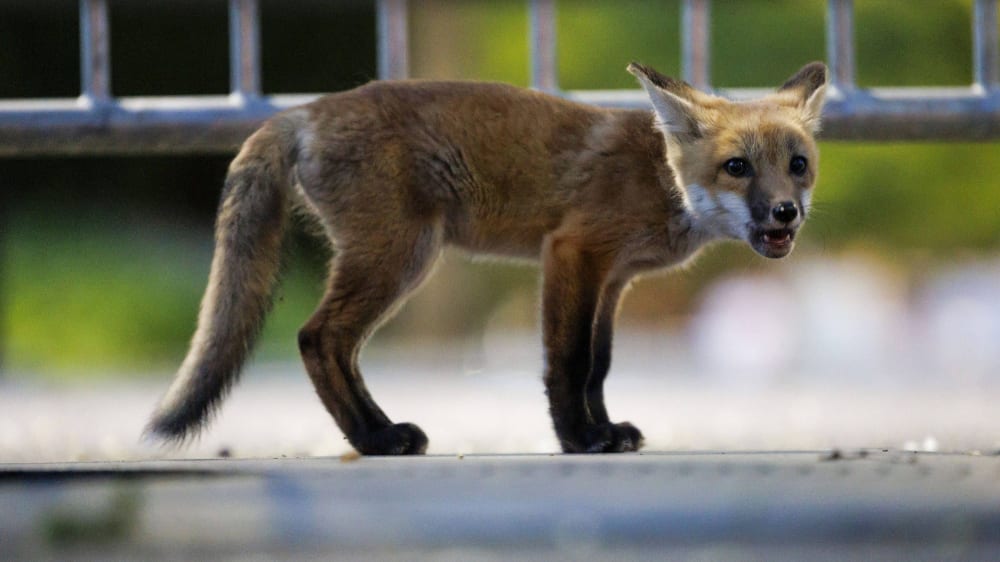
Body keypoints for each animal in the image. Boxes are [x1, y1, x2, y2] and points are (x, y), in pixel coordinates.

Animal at [147, 61, 828, 455]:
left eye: (798, 165)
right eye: (737, 167)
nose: (785, 214)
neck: (663, 182)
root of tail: (304, 109)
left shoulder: (614, 280)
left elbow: (600, 366)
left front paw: (605, 430)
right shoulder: (572, 253)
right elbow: (569, 362)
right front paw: (578, 439)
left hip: (398, 261)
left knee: (338, 346)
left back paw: (379, 433)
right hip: (400, 258)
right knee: (318, 338)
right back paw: (374, 439)